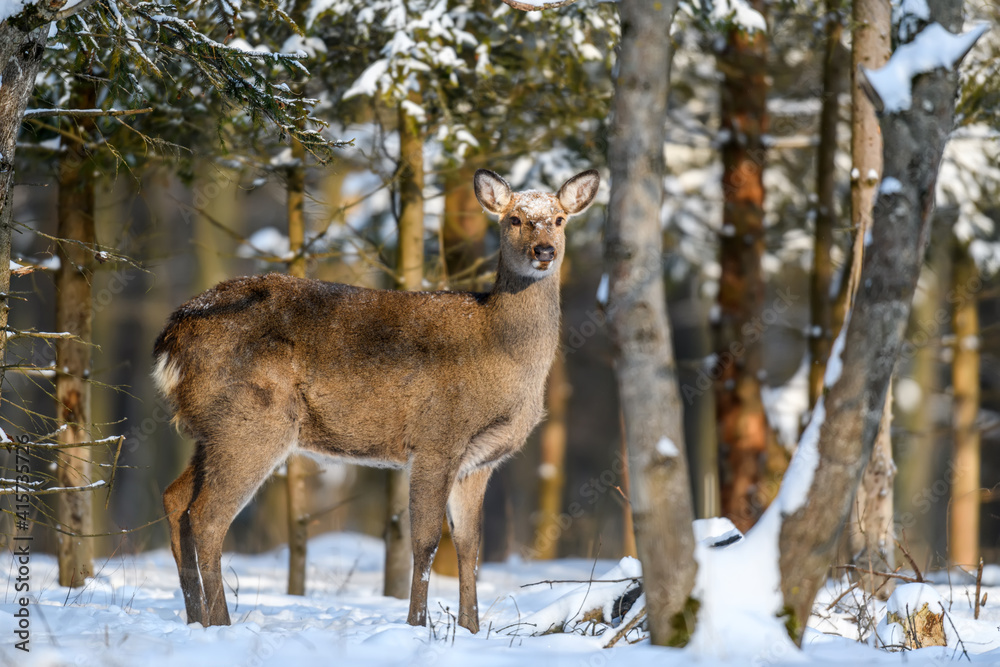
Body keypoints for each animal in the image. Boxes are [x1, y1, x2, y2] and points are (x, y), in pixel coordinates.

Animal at [152, 168, 596, 636]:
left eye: (560, 219)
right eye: (514, 219)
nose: (544, 251)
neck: (502, 354)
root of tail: (171, 339)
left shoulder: (480, 460)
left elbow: (470, 547)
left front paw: (472, 631)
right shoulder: (437, 439)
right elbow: (425, 542)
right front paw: (417, 626)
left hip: (214, 428)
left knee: (175, 499)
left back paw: (195, 620)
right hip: (253, 422)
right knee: (207, 516)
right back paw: (221, 624)